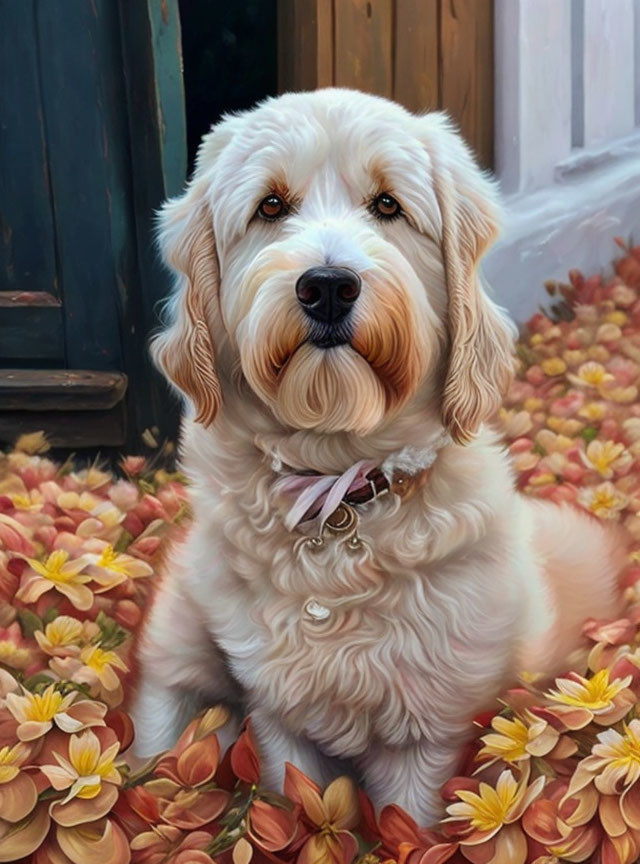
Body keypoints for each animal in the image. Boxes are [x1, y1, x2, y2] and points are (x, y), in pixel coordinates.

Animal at [131, 88, 624, 824]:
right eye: (270, 207)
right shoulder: (281, 714)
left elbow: (409, 825)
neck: (340, 489)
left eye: (388, 205)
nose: (328, 286)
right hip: (180, 641)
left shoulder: (426, 732)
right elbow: (296, 801)